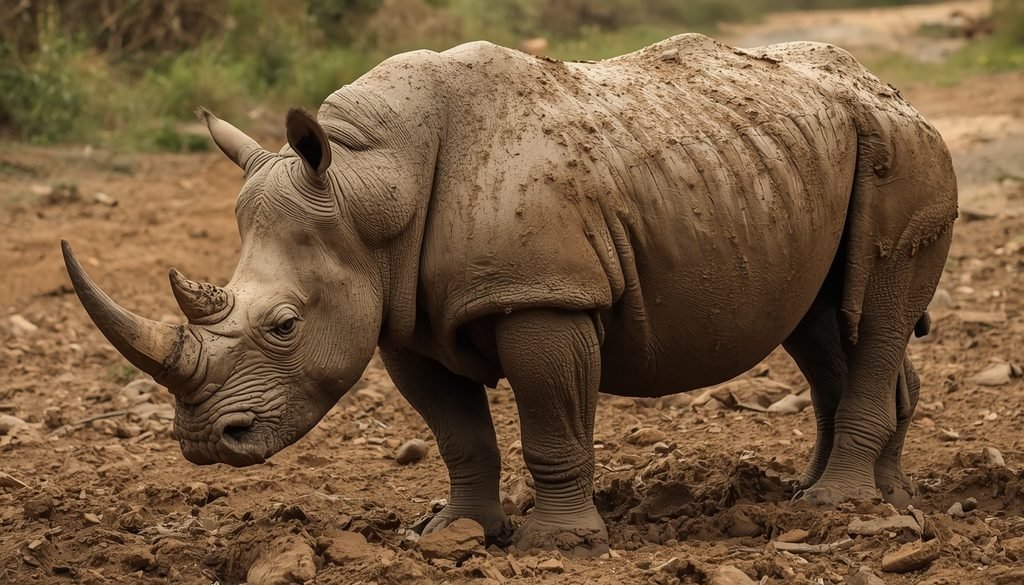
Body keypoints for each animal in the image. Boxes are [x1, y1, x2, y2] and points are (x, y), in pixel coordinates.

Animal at [62, 34, 957, 554]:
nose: (206, 441)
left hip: (909, 151)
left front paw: (557, 546)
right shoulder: (402, 315)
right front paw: (454, 532)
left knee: (878, 307)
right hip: (795, 162)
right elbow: (459, 433)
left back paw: (838, 508)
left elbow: (550, 418)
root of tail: (891, 87)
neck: (367, 185)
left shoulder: (541, 295)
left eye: (284, 325)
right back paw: (861, 498)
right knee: (821, 323)